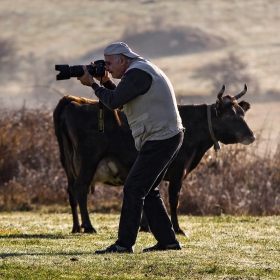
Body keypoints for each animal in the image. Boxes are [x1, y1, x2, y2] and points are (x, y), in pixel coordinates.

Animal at [53, 84, 256, 235]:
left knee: (71, 190)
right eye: (229, 115)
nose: (251, 136)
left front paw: (145, 226)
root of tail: (74, 100)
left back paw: (76, 226)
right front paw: (177, 228)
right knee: (81, 187)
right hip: (89, 160)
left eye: (242, 113)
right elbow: (174, 200)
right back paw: (88, 226)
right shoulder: (178, 171)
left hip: (68, 162)